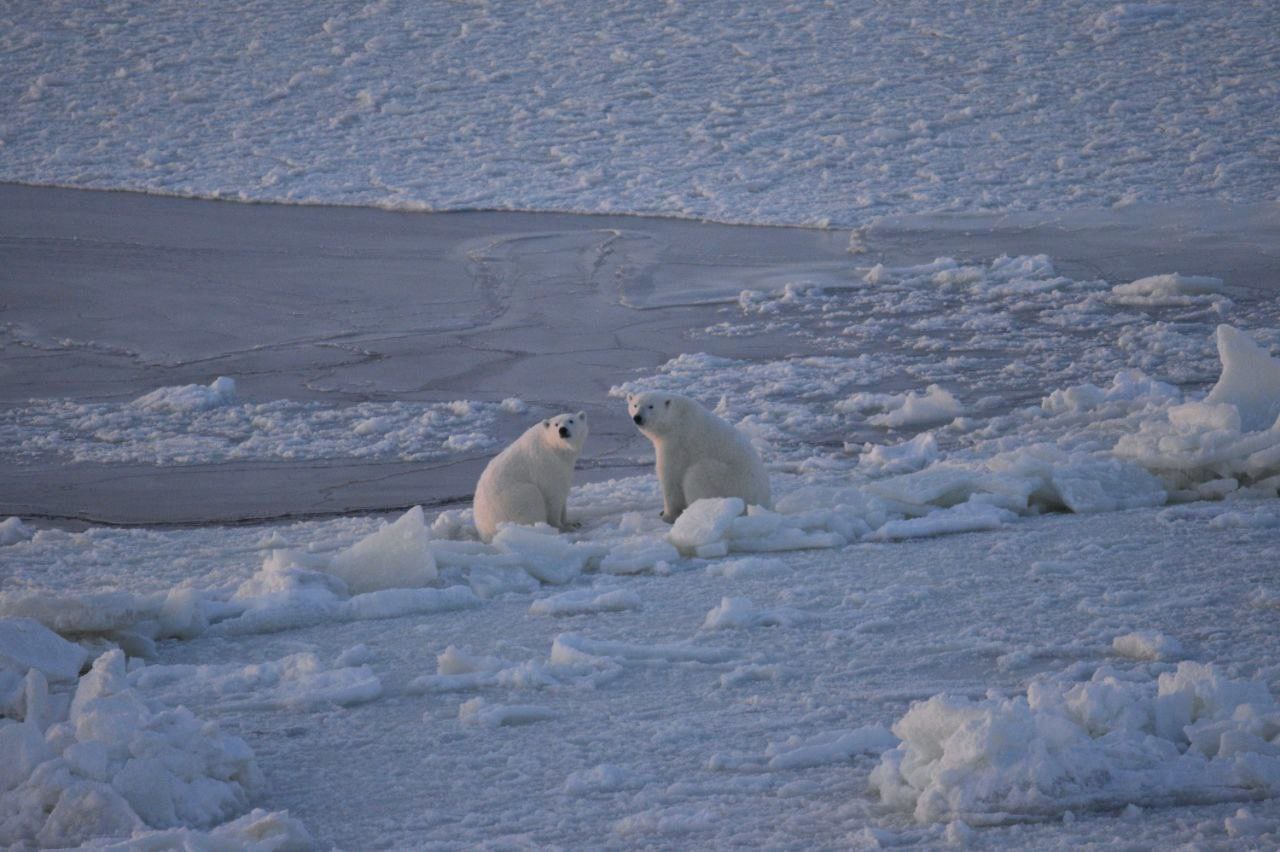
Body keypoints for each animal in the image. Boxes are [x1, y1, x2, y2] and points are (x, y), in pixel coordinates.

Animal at [473, 409, 586, 539]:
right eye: (556, 424)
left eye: (571, 420)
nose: (562, 430)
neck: (556, 449)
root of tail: (484, 531)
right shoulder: (546, 465)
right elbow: (553, 495)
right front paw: (564, 527)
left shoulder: (564, 467)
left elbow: (563, 493)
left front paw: (573, 522)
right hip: (512, 500)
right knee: (531, 495)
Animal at [627, 388, 768, 521]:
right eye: (635, 405)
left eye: (651, 406)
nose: (638, 418)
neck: (676, 417)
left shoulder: (676, 443)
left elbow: (670, 477)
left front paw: (666, 516)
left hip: (728, 481)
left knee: (696, 475)